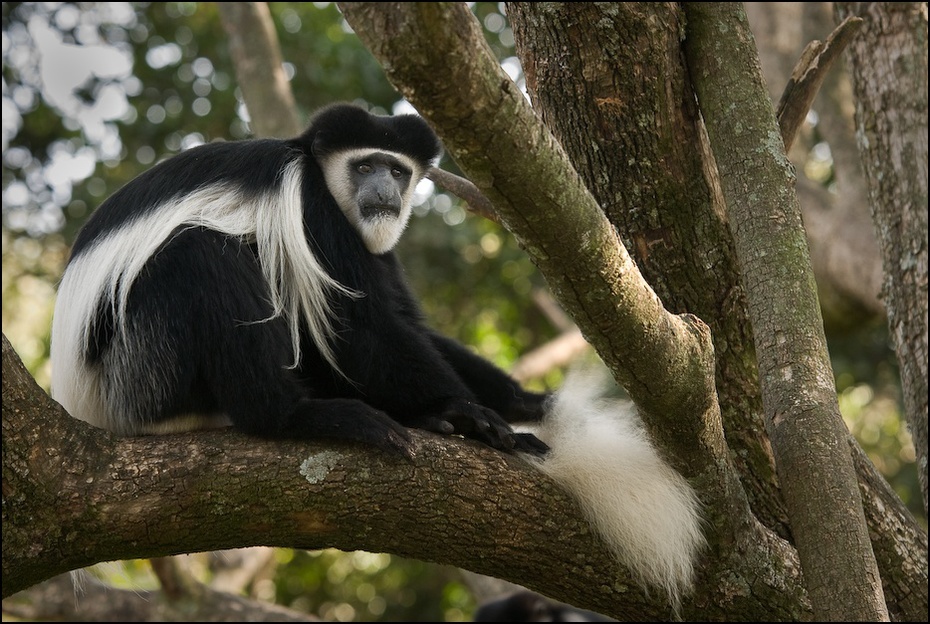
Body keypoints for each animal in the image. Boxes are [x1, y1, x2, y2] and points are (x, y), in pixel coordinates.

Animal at [50, 105, 704, 612]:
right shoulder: (312, 210)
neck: (316, 169)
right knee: (201, 253)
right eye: (363, 166)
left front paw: (520, 404)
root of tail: (85, 403)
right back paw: (307, 417)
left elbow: (403, 320)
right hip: (143, 365)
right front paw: (467, 414)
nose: (383, 192)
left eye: (397, 169)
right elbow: (358, 322)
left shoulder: (375, 243)